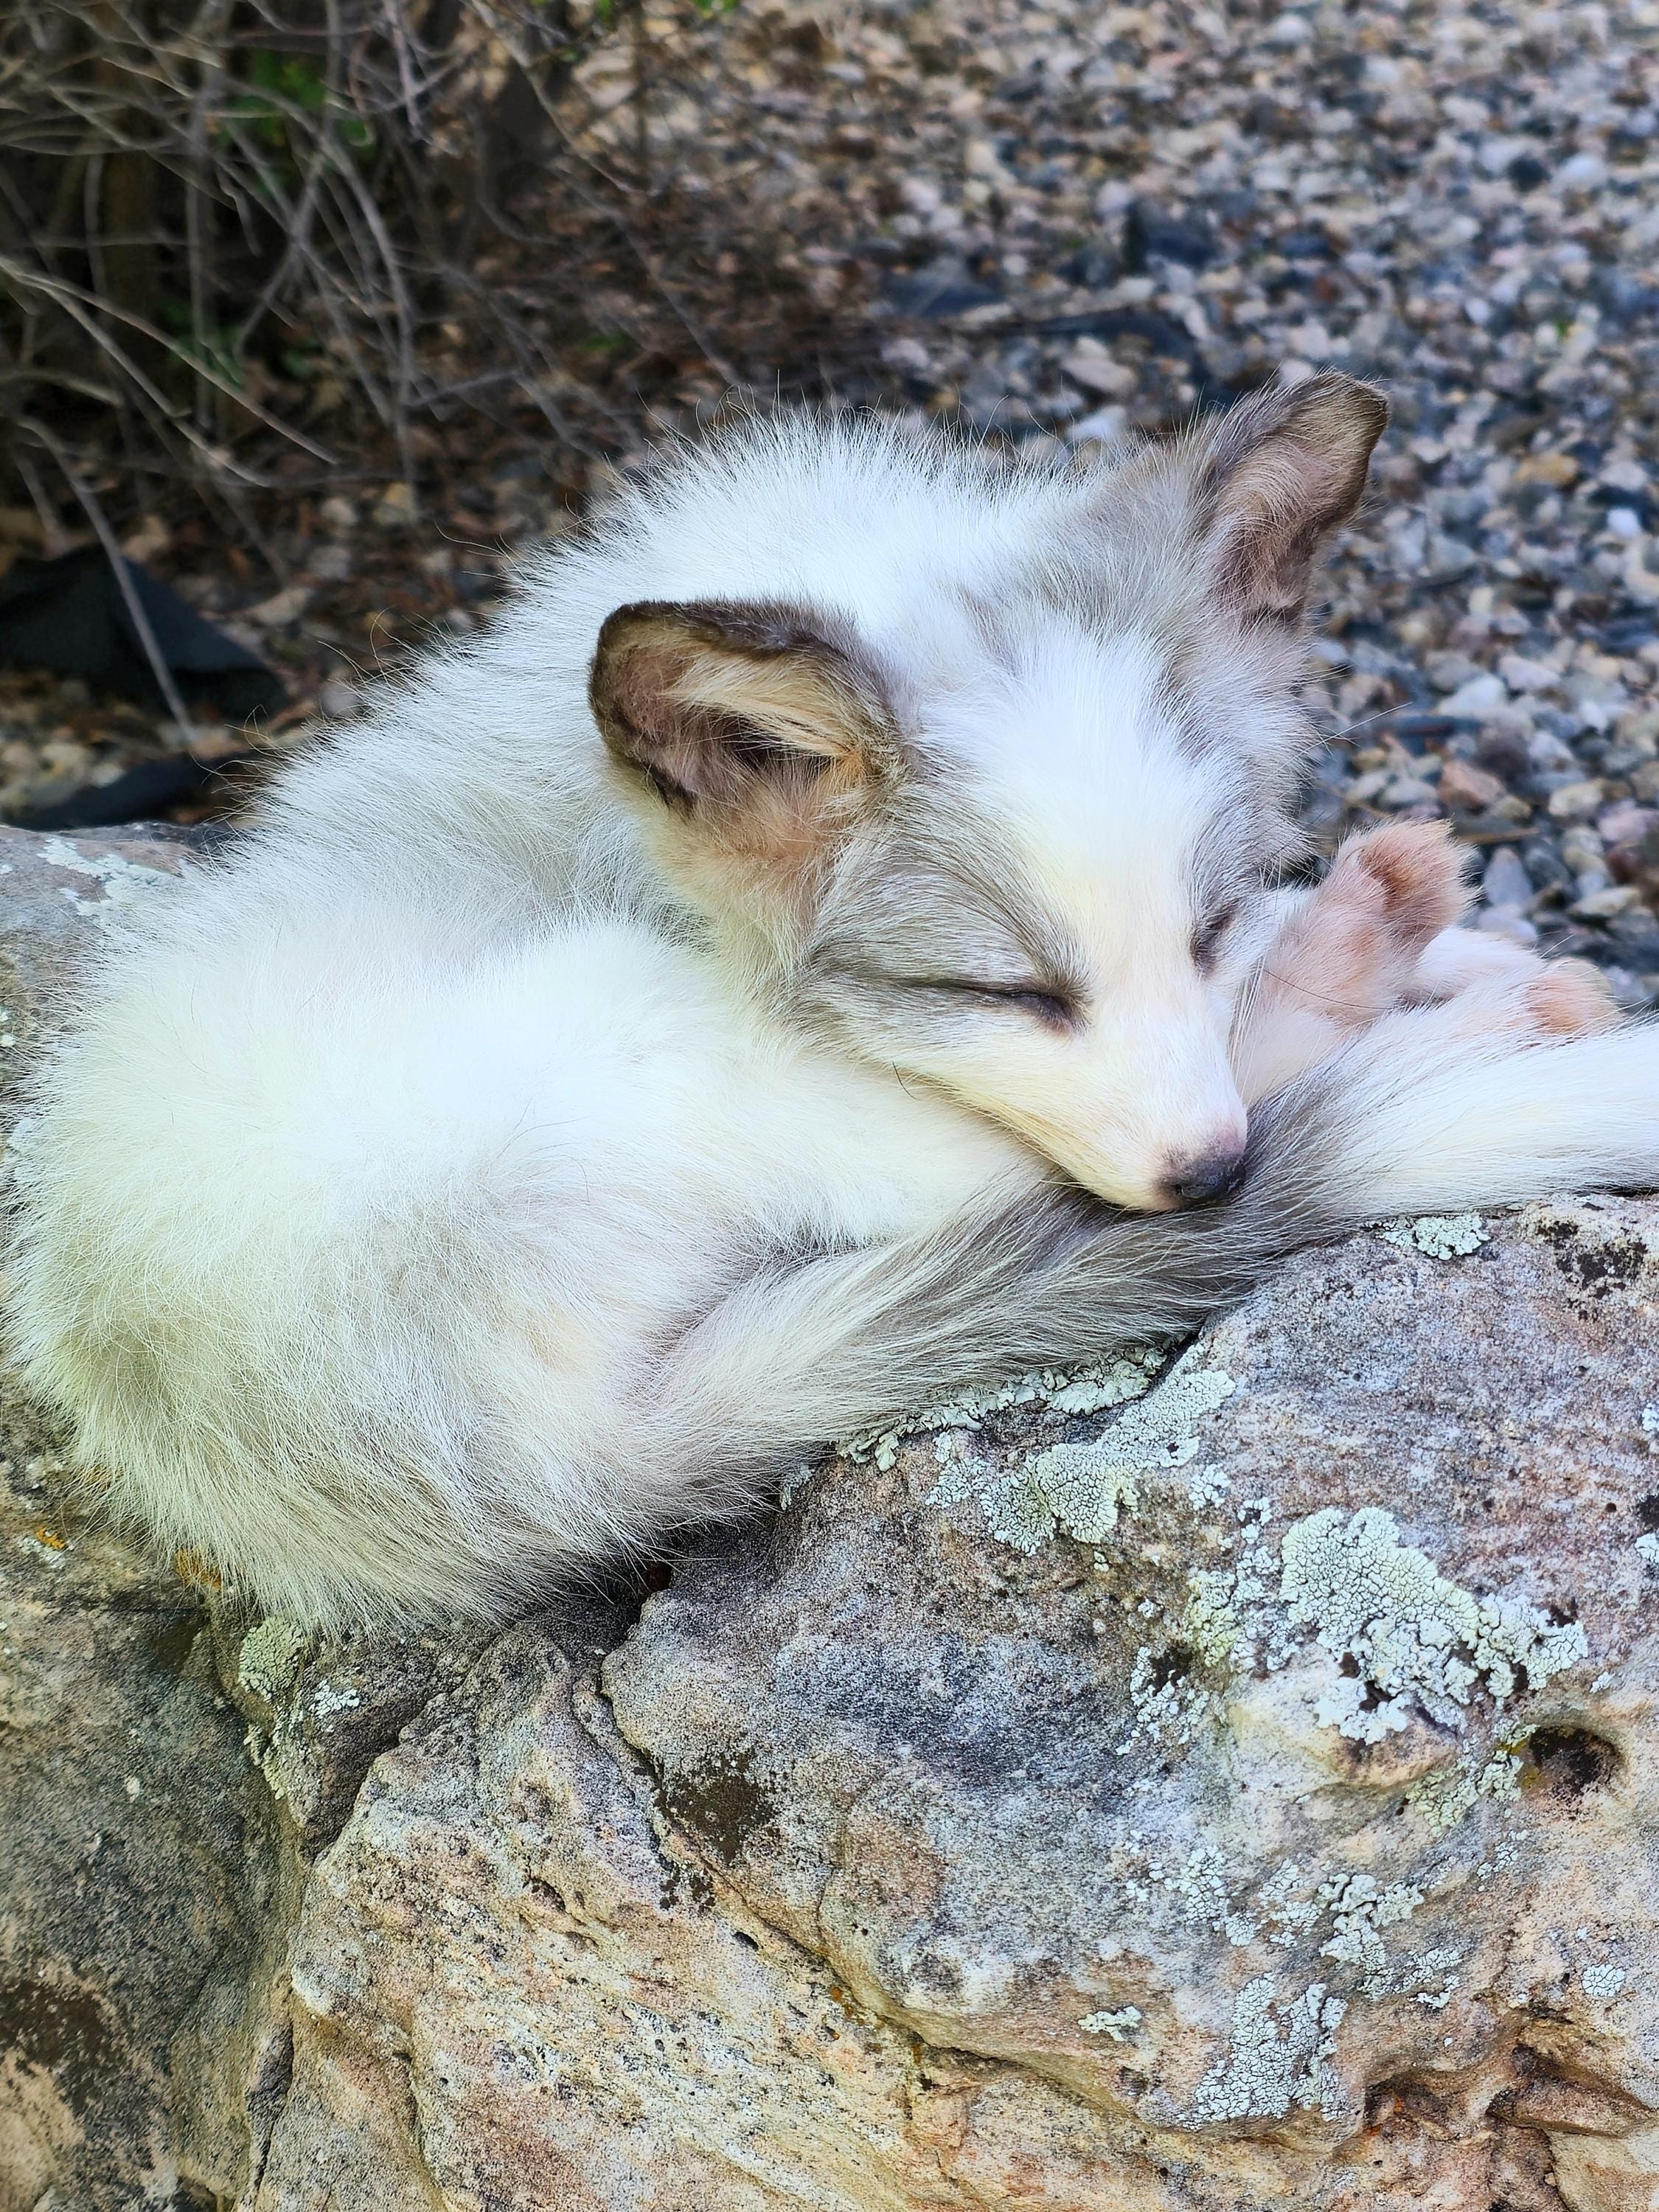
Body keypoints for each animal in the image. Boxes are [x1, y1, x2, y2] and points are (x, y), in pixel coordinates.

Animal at [6, 371, 1657, 1629]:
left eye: (1200, 920)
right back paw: (1401, 983)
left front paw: (1460, 952)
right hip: (647, 1046)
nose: (1214, 1180)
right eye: (1001, 990)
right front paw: (1421, 974)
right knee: (990, 1175)